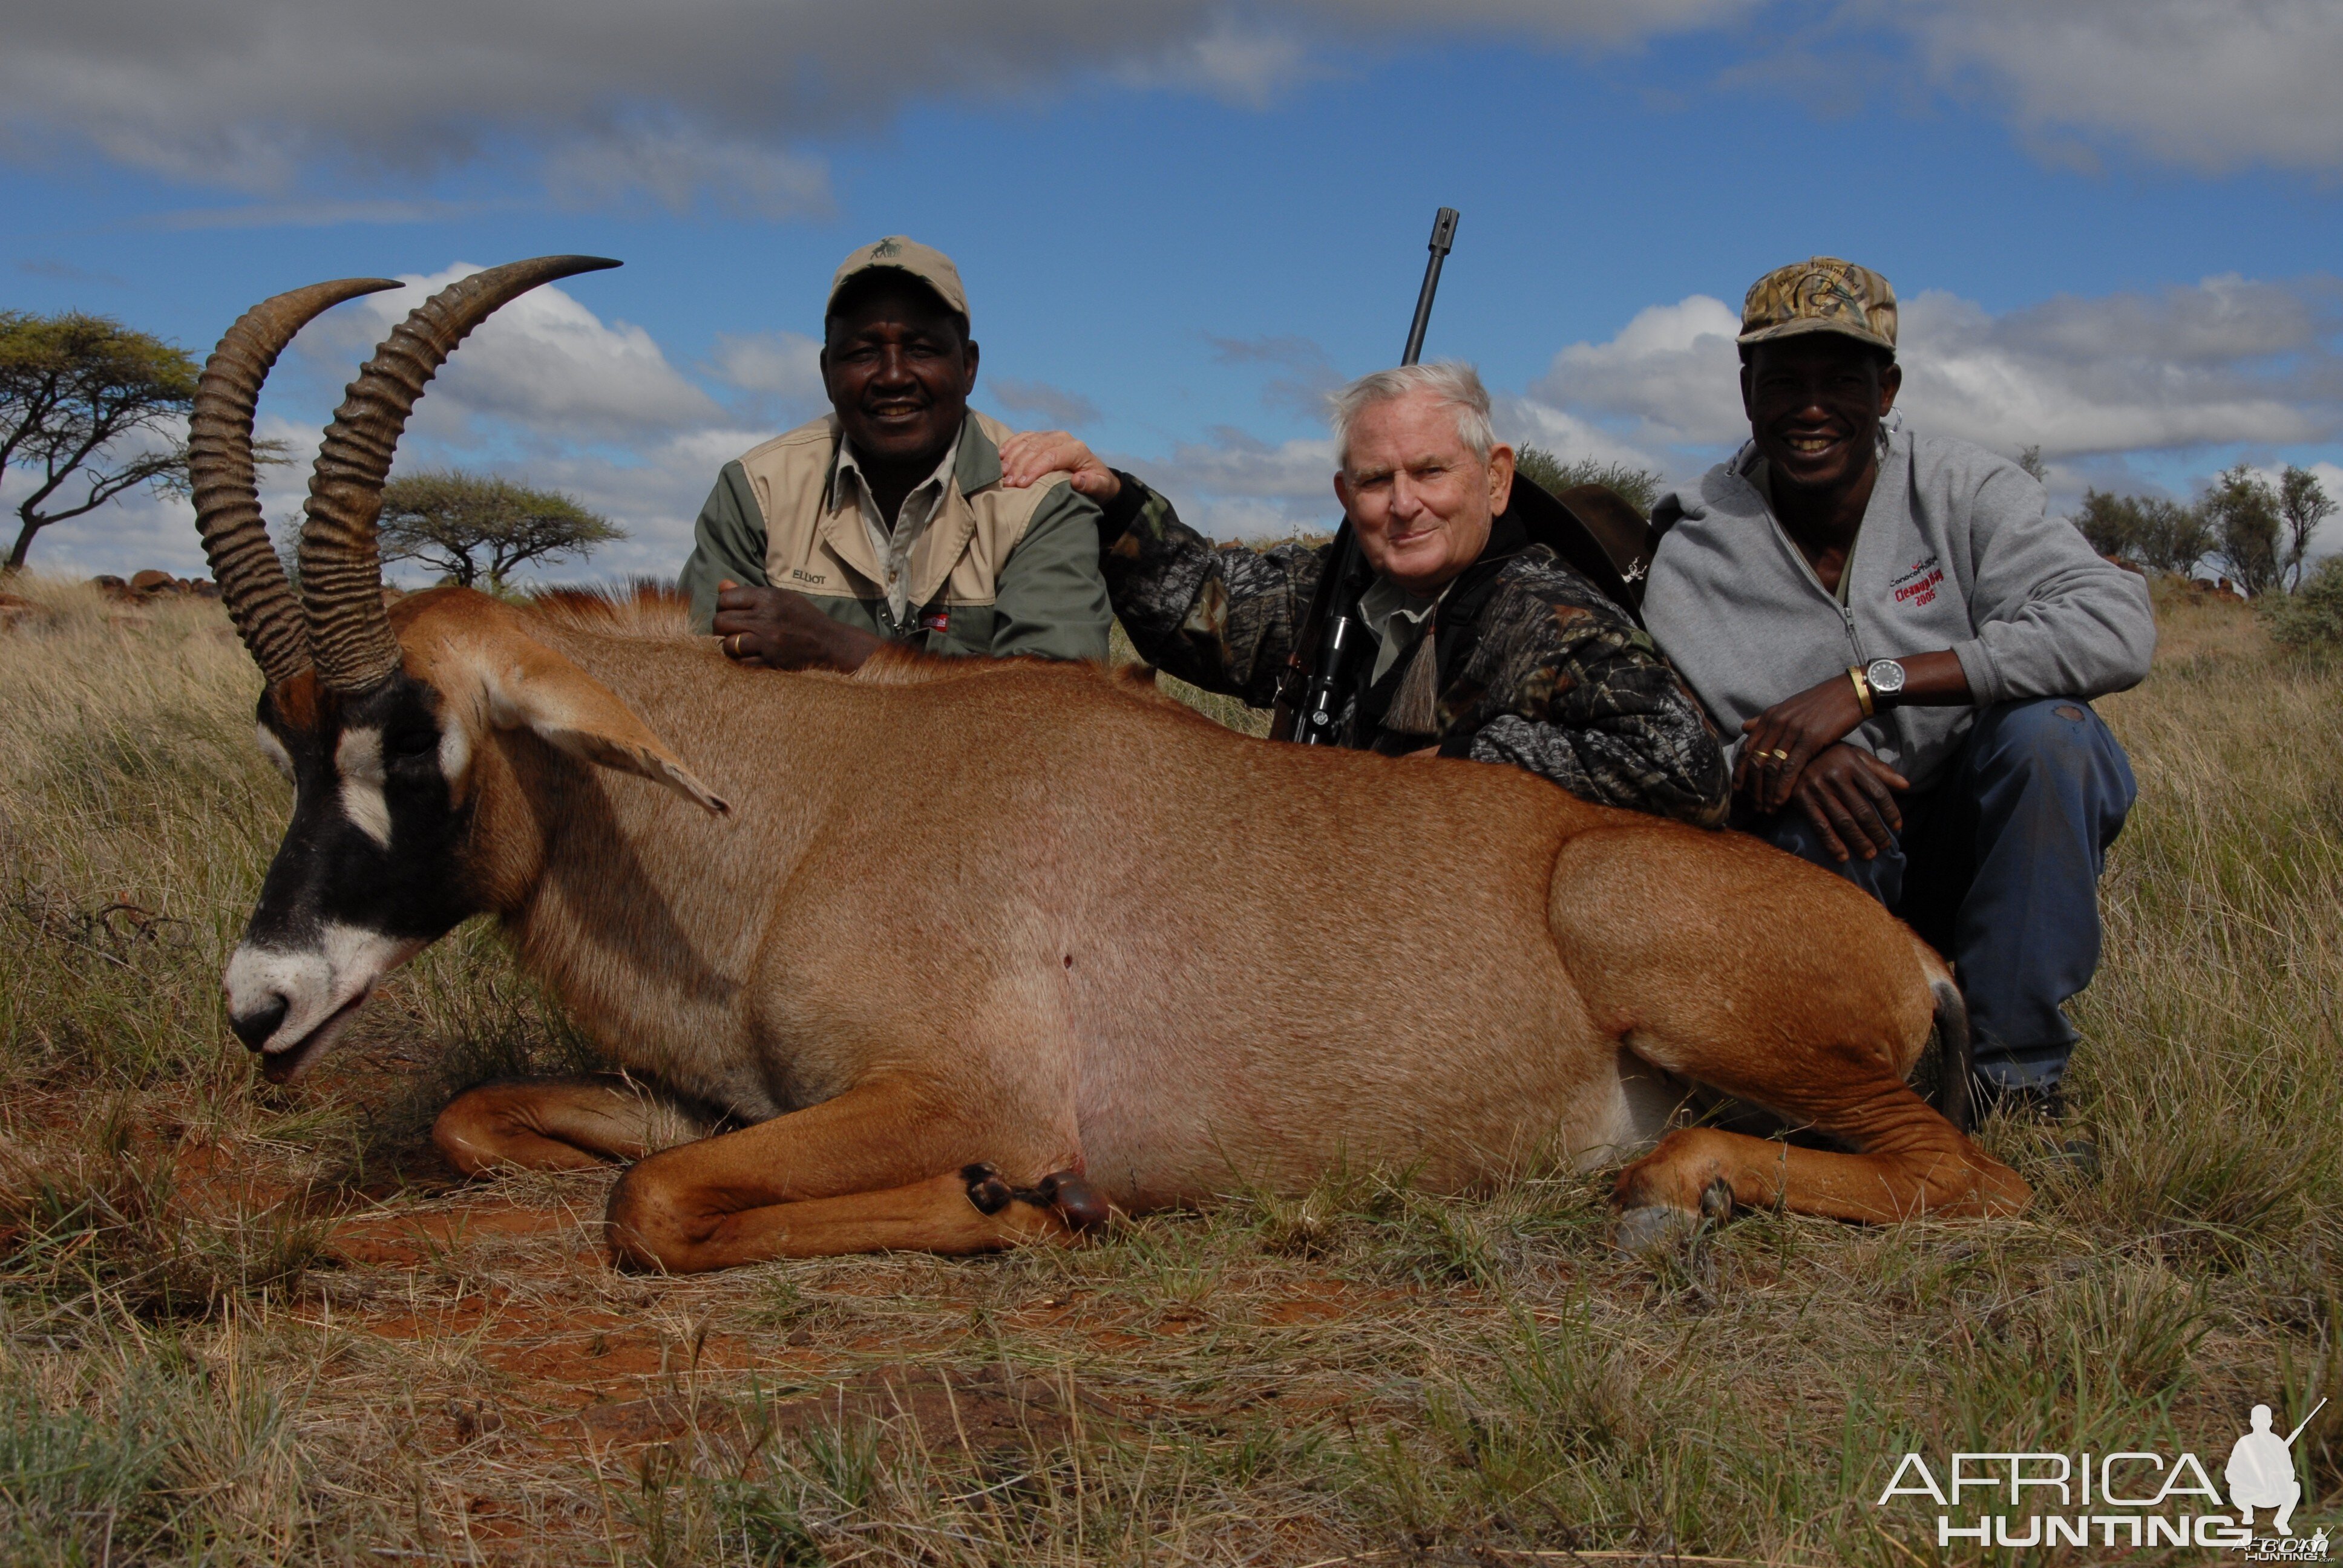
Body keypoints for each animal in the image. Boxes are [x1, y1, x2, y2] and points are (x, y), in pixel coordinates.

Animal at [197, 256, 2033, 1275]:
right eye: (279, 736)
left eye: (417, 737)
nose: (260, 1002)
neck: (809, 810)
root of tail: (1916, 960)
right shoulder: (730, 1095)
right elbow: (489, 1123)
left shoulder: (968, 1094)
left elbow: (647, 1204)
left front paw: (1022, 1209)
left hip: (1701, 990)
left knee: (1973, 1177)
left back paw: (1672, 1183)